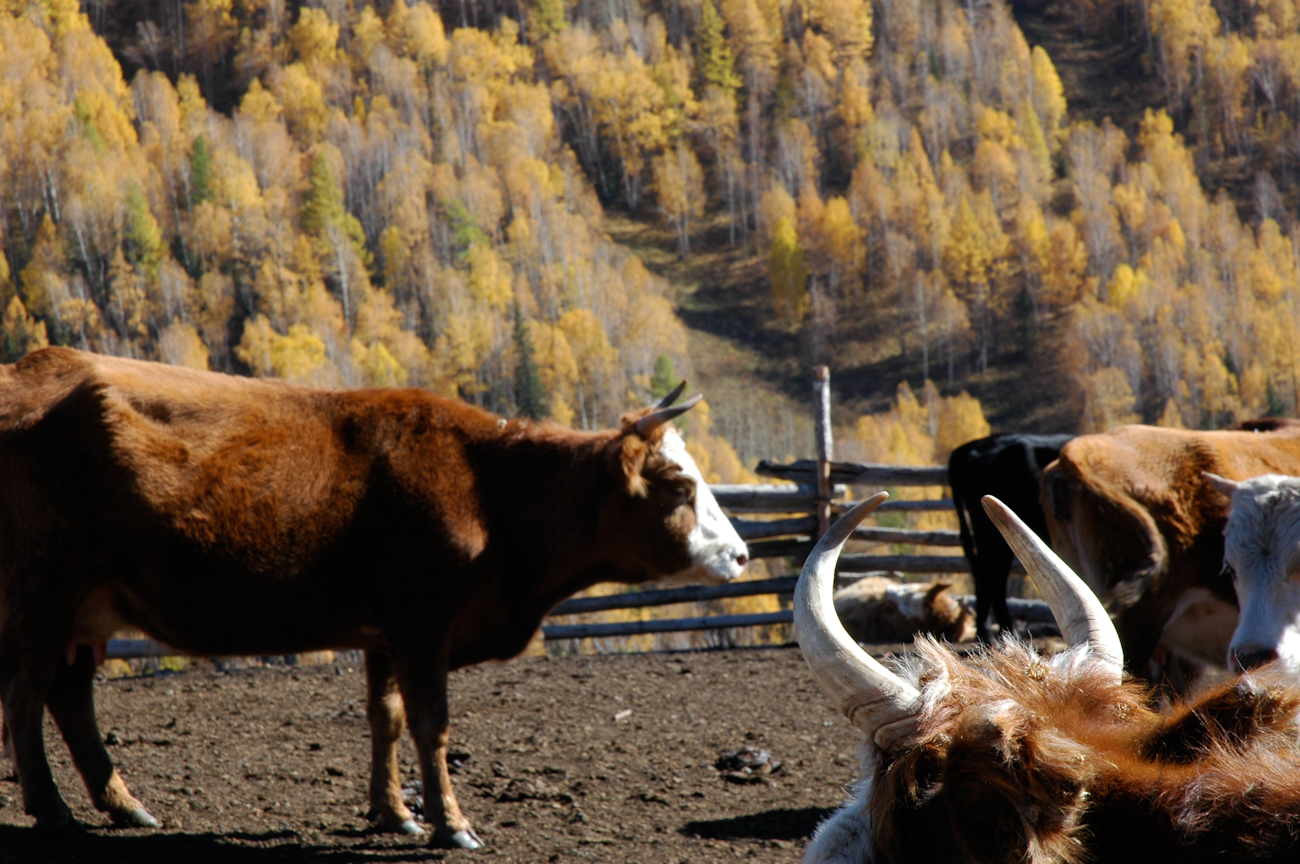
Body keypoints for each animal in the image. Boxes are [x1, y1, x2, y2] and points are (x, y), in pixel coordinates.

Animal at [0, 347, 748, 847]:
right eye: (679, 487)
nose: (742, 555)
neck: (489, 487)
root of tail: (35, 364)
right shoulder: (423, 623)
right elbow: (430, 723)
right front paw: (452, 824)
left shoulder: (386, 633)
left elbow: (384, 719)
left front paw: (395, 813)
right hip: (42, 590)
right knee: (27, 693)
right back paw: (52, 808)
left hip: (84, 606)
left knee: (69, 696)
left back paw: (124, 805)